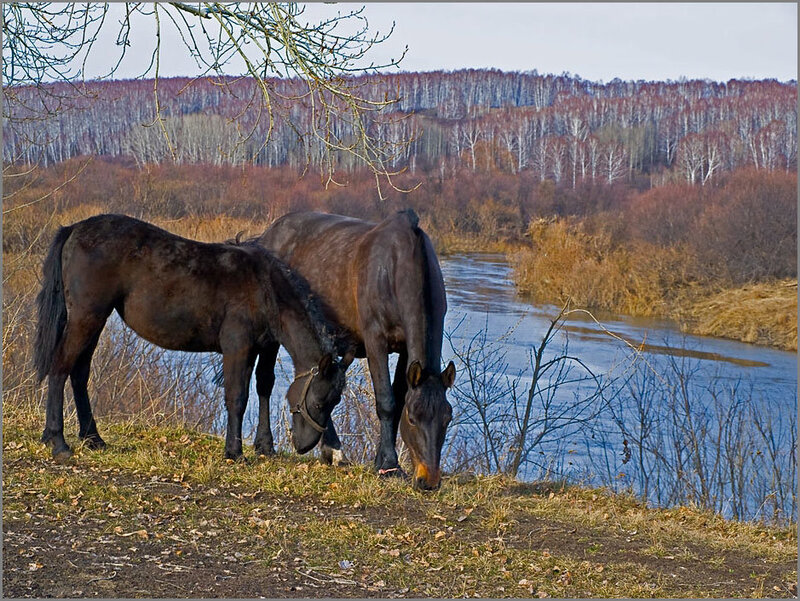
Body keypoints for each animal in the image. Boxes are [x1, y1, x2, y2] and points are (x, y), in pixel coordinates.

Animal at [34, 214, 350, 462]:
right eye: (319, 402)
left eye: (335, 402)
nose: (304, 446)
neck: (264, 288)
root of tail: (75, 228)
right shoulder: (238, 347)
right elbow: (237, 396)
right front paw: (234, 452)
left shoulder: (263, 348)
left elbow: (264, 387)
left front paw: (264, 447)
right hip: (86, 318)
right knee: (60, 367)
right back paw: (57, 441)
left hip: (93, 321)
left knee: (79, 373)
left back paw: (93, 439)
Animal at [248, 209, 455, 490]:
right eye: (413, 418)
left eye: (447, 418)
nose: (429, 481)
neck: (397, 269)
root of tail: (268, 235)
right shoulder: (375, 339)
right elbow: (387, 401)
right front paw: (389, 465)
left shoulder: (404, 351)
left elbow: (397, 396)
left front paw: (382, 461)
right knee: (265, 381)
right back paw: (265, 445)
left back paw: (333, 452)